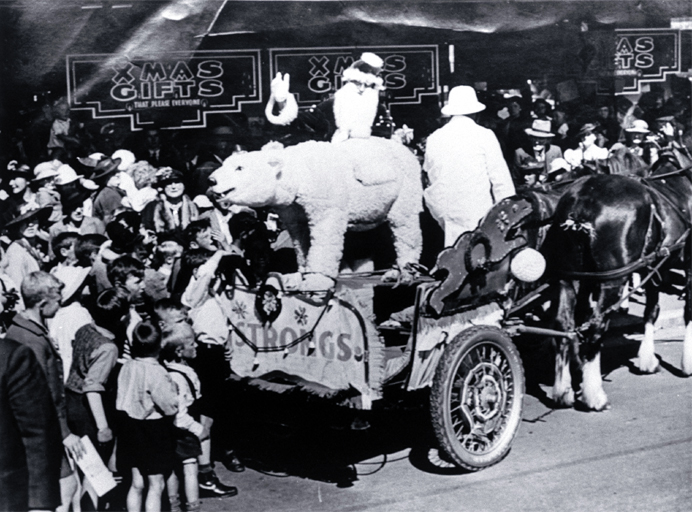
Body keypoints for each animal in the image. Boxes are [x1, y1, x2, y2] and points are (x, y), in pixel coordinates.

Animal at [540, 146, 692, 410]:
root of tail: (583, 203)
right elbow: (688, 310)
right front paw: (687, 363)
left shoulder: (652, 267)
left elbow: (652, 310)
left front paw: (647, 360)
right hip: (611, 280)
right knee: (596, 326)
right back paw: (594, 396)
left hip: (569, 278)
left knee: (564, 324)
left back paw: (562, 390)